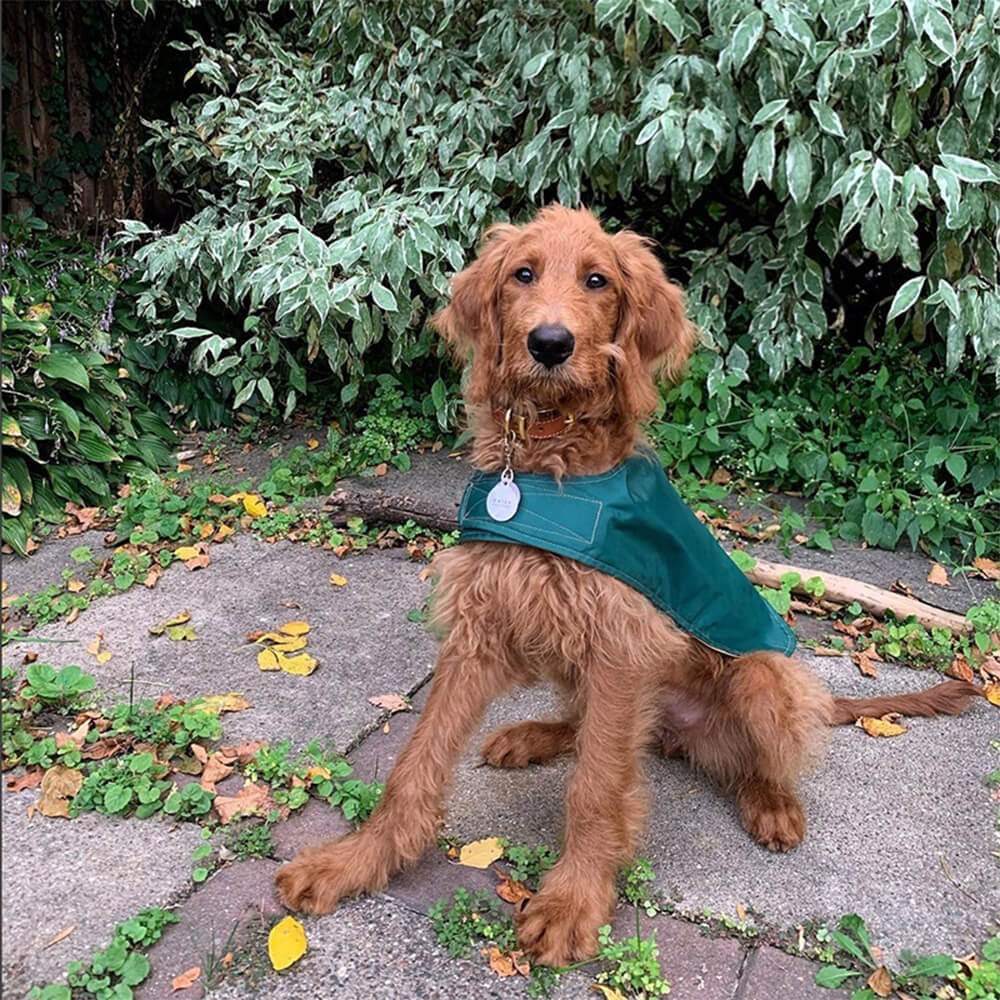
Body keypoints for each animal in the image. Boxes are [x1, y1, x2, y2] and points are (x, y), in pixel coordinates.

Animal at [276, 205, 984, 968]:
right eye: (522, 274)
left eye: (598, 281)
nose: (550, 343)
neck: (547, 468)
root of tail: (676, 732)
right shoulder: (481, 629)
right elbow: (415, 765)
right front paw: (355, 861)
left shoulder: (621, 647)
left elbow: (596, 790)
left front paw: (571, 901)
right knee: (588, 729)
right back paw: (533, 736)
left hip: (764, 676)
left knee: (753, 757)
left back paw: (772, 803)